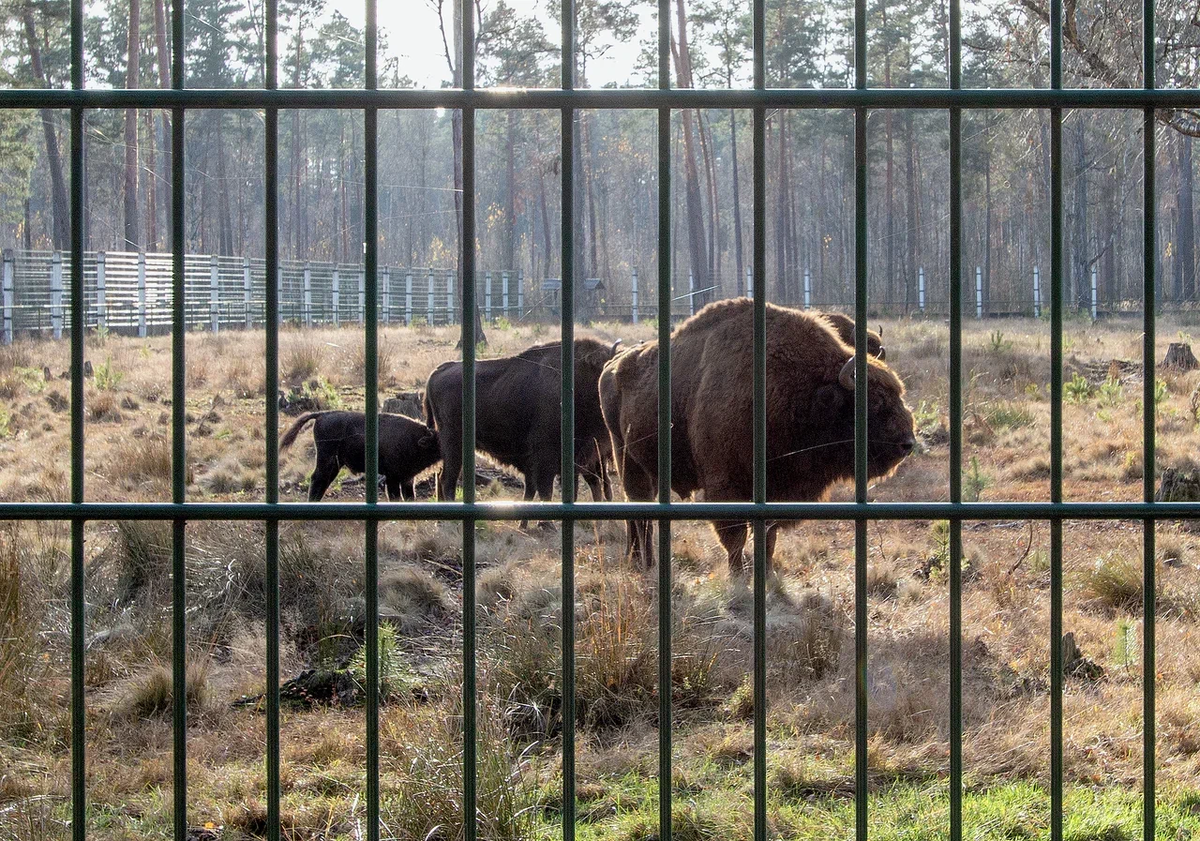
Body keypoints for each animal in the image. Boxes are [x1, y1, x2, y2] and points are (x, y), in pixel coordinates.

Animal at [279, 412, 441, 501]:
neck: (415, 439)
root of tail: (322, 415)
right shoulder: (393, 478)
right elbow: (395, 496)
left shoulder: (407, 478)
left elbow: (409, 496)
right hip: (326, 459)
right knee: (318, 478)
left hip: (335, 464)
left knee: (323, 480)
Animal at [422, 335, 624, 511]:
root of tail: (439, 370)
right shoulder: (546, 455)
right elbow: (546, 489)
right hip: (454, 444)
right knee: (448, 479)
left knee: (442, 477)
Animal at [604, 296, 912, 571]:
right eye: (874, 402)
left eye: (898, 394)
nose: (907, 443)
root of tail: (613, 366)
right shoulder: (725, 486)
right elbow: (735, 537)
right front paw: (738, 576)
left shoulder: (775, 490)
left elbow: (768, 537)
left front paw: (767, 572)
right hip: (627, 460)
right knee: (640, 514)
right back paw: (645, 562)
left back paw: (638, 559)